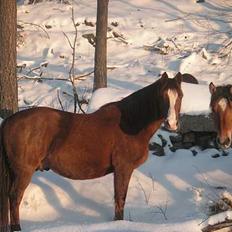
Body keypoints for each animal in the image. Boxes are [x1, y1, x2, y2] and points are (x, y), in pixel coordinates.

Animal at [0, 71, 183, 231]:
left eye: (180, 96)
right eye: (163, 96)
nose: (171, 124)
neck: (130, 123)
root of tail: (9, 121)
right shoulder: (123, 168)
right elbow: (120, 199)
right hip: (23, 172)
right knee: (15, 198)